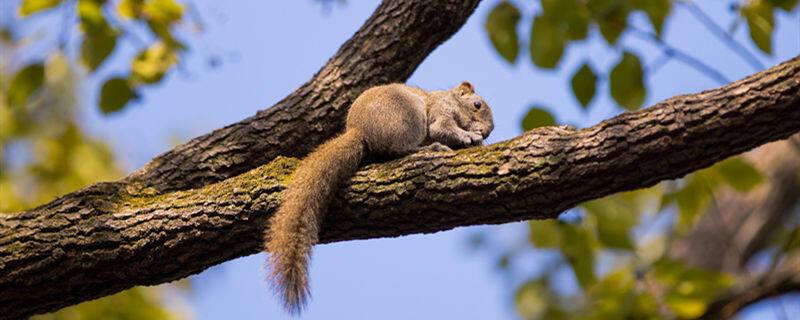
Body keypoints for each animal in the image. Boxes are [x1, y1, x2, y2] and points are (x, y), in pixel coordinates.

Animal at [266, 81, 494, 314]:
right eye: (477, 105)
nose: (486, 132)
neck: (451, 99)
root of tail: (360, 130)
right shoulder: (441, 110)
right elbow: (442, 128)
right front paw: (469, 137)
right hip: (409, 115)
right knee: (399, 149)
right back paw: (430, 148)